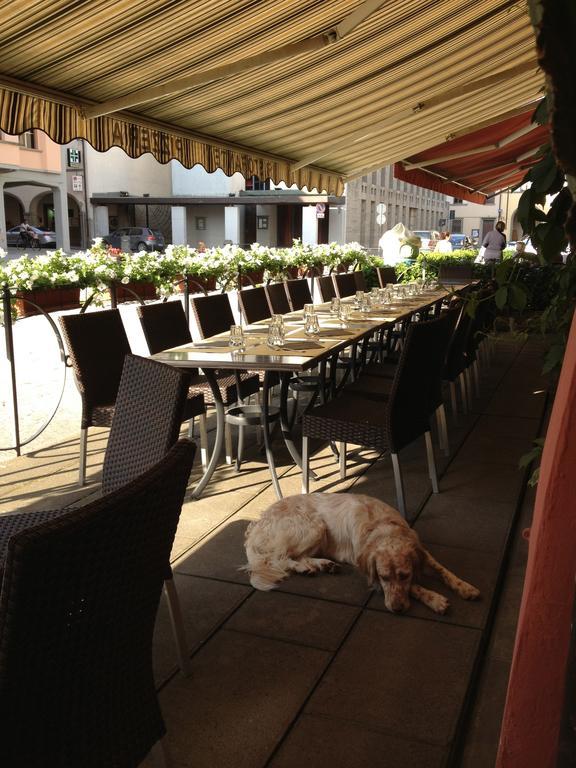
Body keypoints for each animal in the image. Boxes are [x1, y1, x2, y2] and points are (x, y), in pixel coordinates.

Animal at [244, 496, 482, 616]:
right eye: (384, 577)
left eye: (404, 575)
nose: (397, 609)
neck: (382, 526)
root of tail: (259, 522)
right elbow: (416, 587)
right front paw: (435, 599)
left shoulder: (420, 549)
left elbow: (442, 570)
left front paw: (465, 587)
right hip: (313, 526)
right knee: (279, 557)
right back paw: (305, 567)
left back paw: (323, 565)